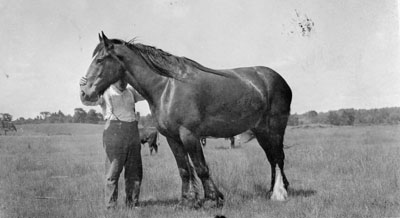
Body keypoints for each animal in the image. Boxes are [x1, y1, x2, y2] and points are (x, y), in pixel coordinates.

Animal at [80, 32, 294, 208]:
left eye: (100, 60)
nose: (85, 93)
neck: (166, 88)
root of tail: (279, 80)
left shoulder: (189, 135)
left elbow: (200, 168)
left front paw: (211, 200)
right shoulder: (173, 138)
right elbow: (184, 169)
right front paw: (187, 201)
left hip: (275, 129)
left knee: (278, 158)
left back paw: (280, 192)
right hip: (261, 131)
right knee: (272, 158)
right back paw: (271, 190)